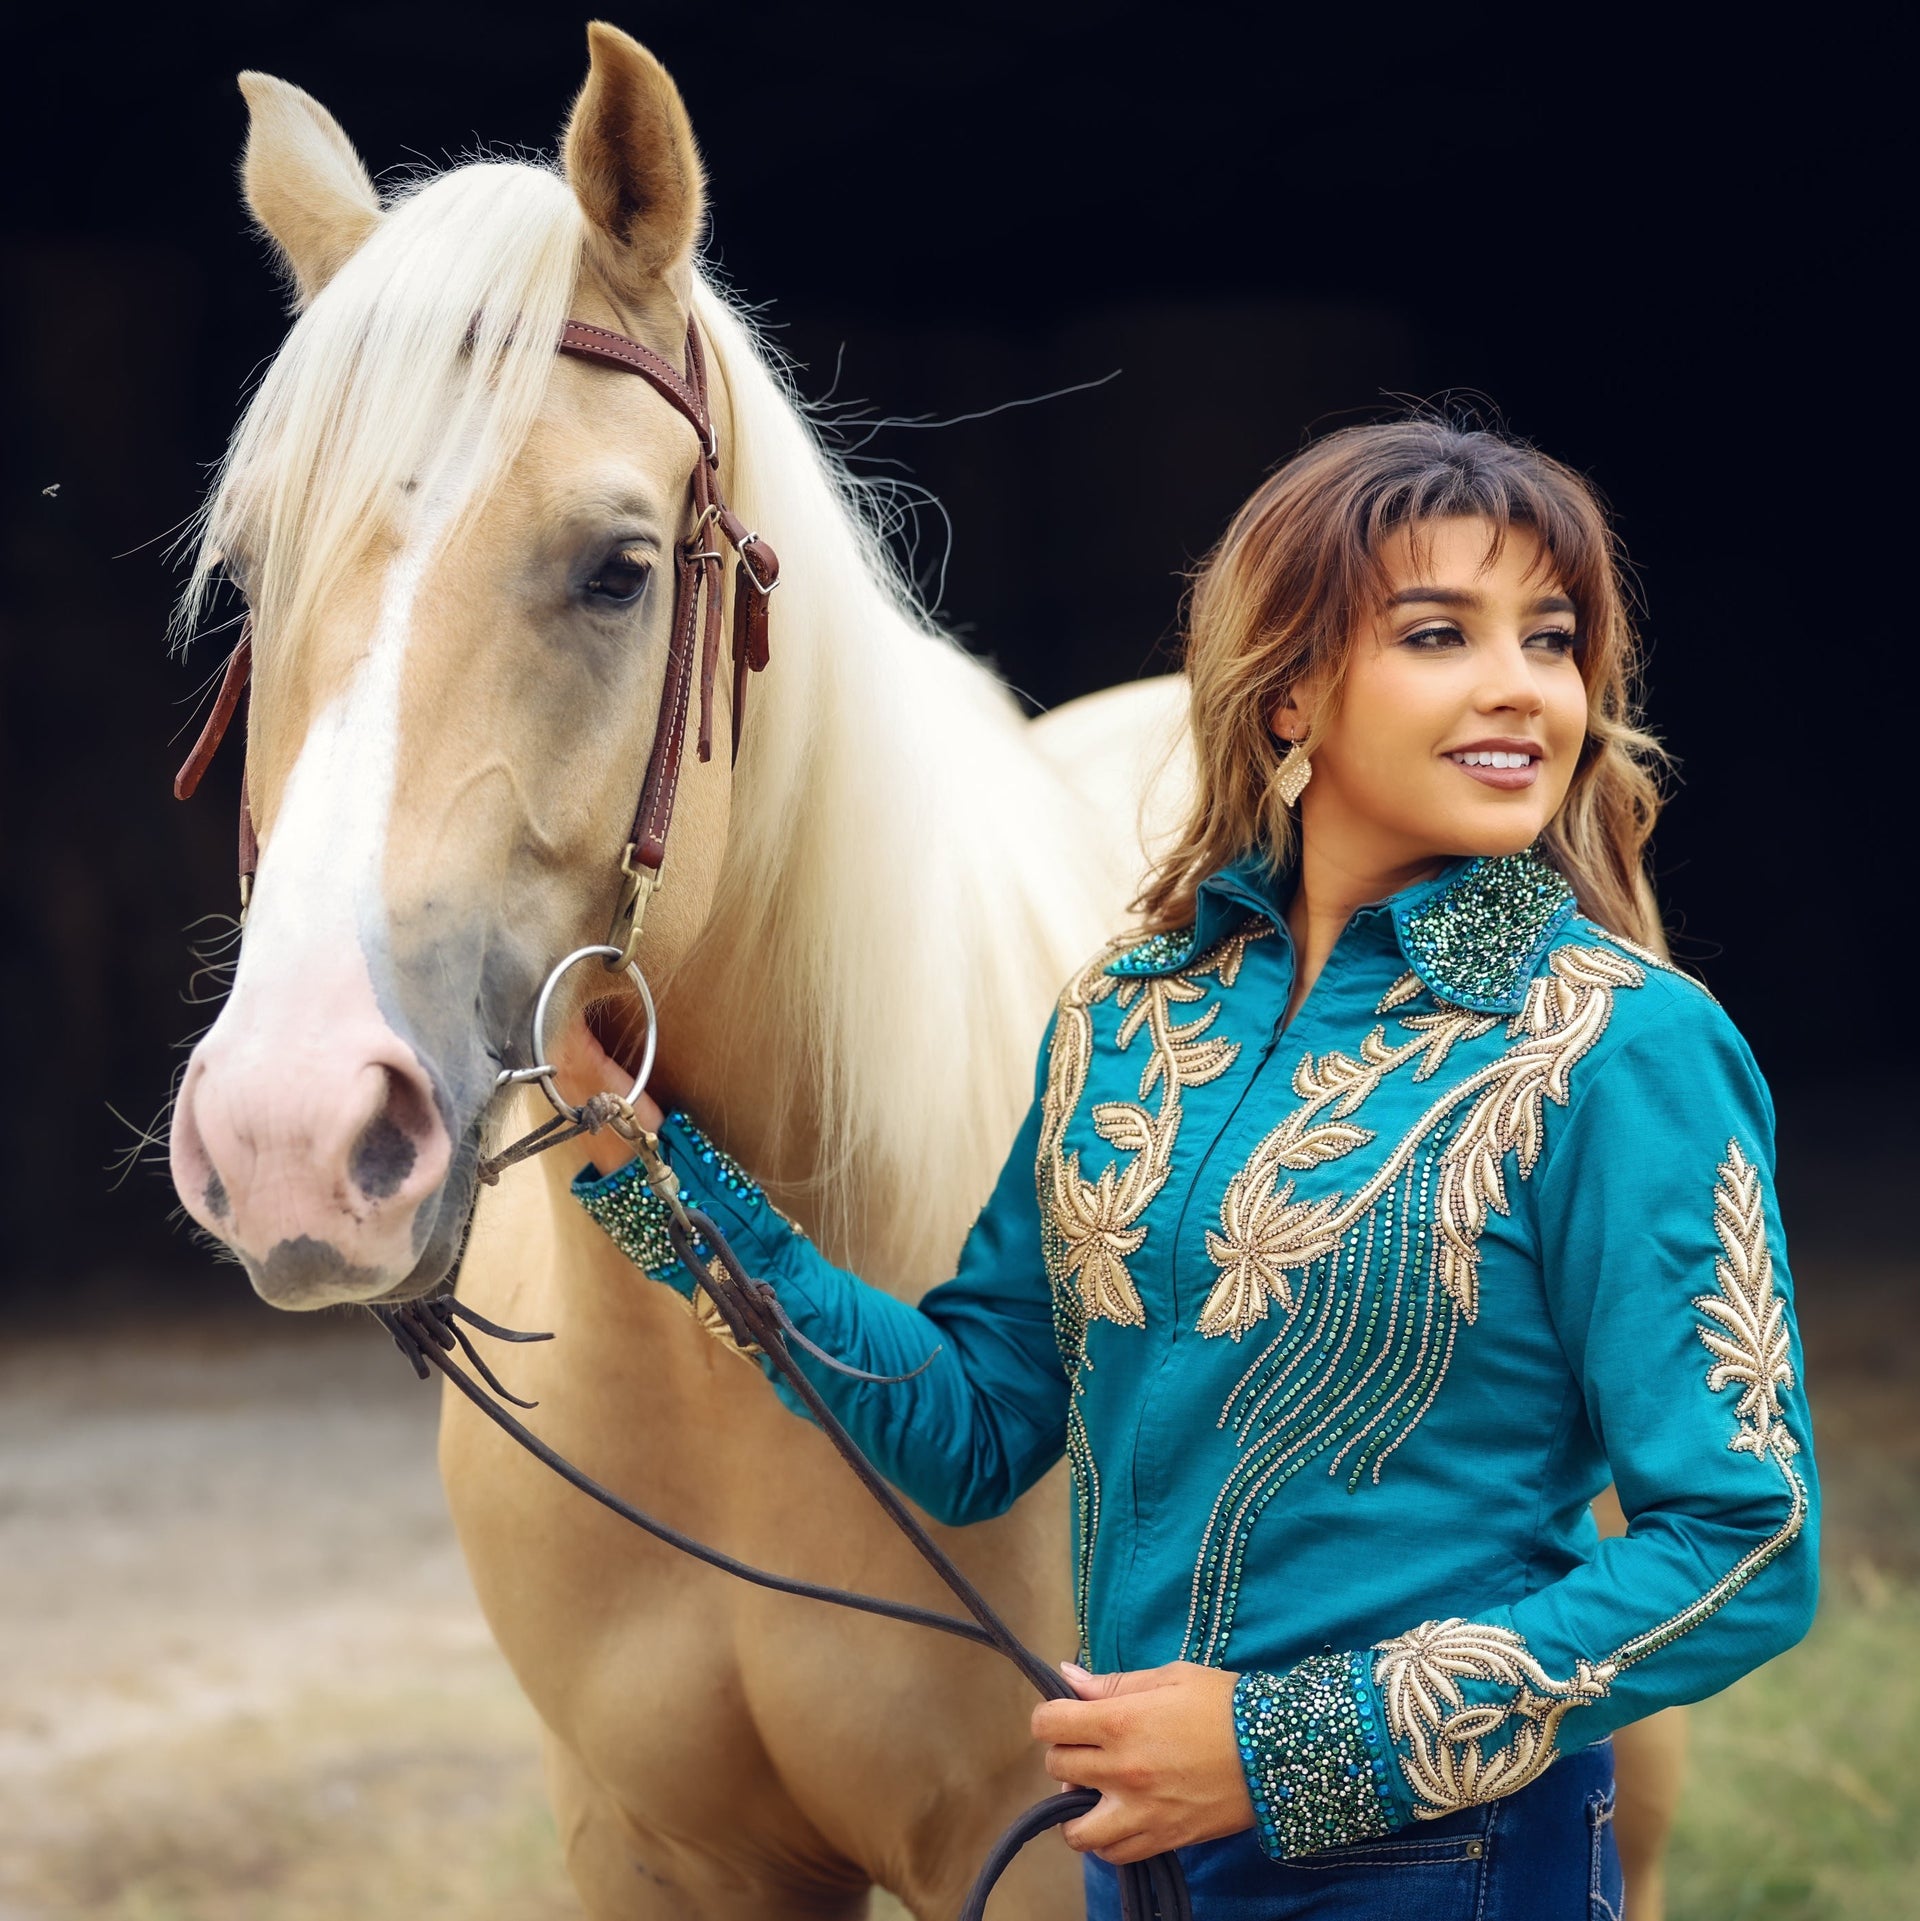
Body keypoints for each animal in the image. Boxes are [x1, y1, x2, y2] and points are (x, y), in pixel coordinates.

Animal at [169, 18, 1683, 1921]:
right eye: (247, 576)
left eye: (619, 569)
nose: (292, 1137)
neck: (731, 1397)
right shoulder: (648, 1846)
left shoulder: (1034, 1845)